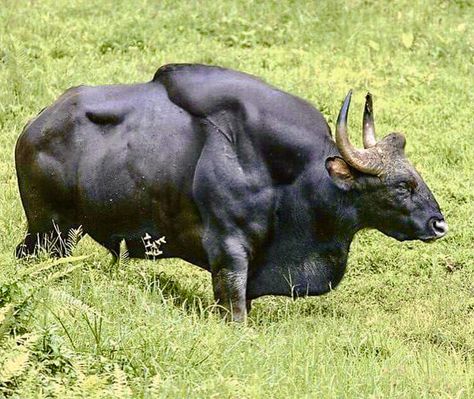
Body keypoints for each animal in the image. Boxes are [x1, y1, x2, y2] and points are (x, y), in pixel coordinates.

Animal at [14, 65, 446, 322]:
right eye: (402, 185)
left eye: (415, 176)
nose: (438, 224)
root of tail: (35, 126)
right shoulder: (229, 251)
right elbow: (235, 308)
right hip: (50, 230)